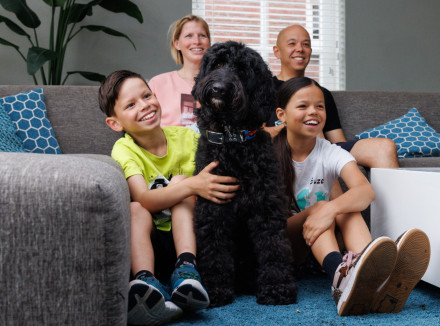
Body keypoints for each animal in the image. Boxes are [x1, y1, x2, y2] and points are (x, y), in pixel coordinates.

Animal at [191, 40, 298, 308]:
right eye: (218, 64)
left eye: (241, 70)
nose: (218, 89)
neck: (233, 140)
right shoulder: (213, 207)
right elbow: (214, 248)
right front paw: (215, 288)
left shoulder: (266, 205)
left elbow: (273, 246)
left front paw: (277, 287)